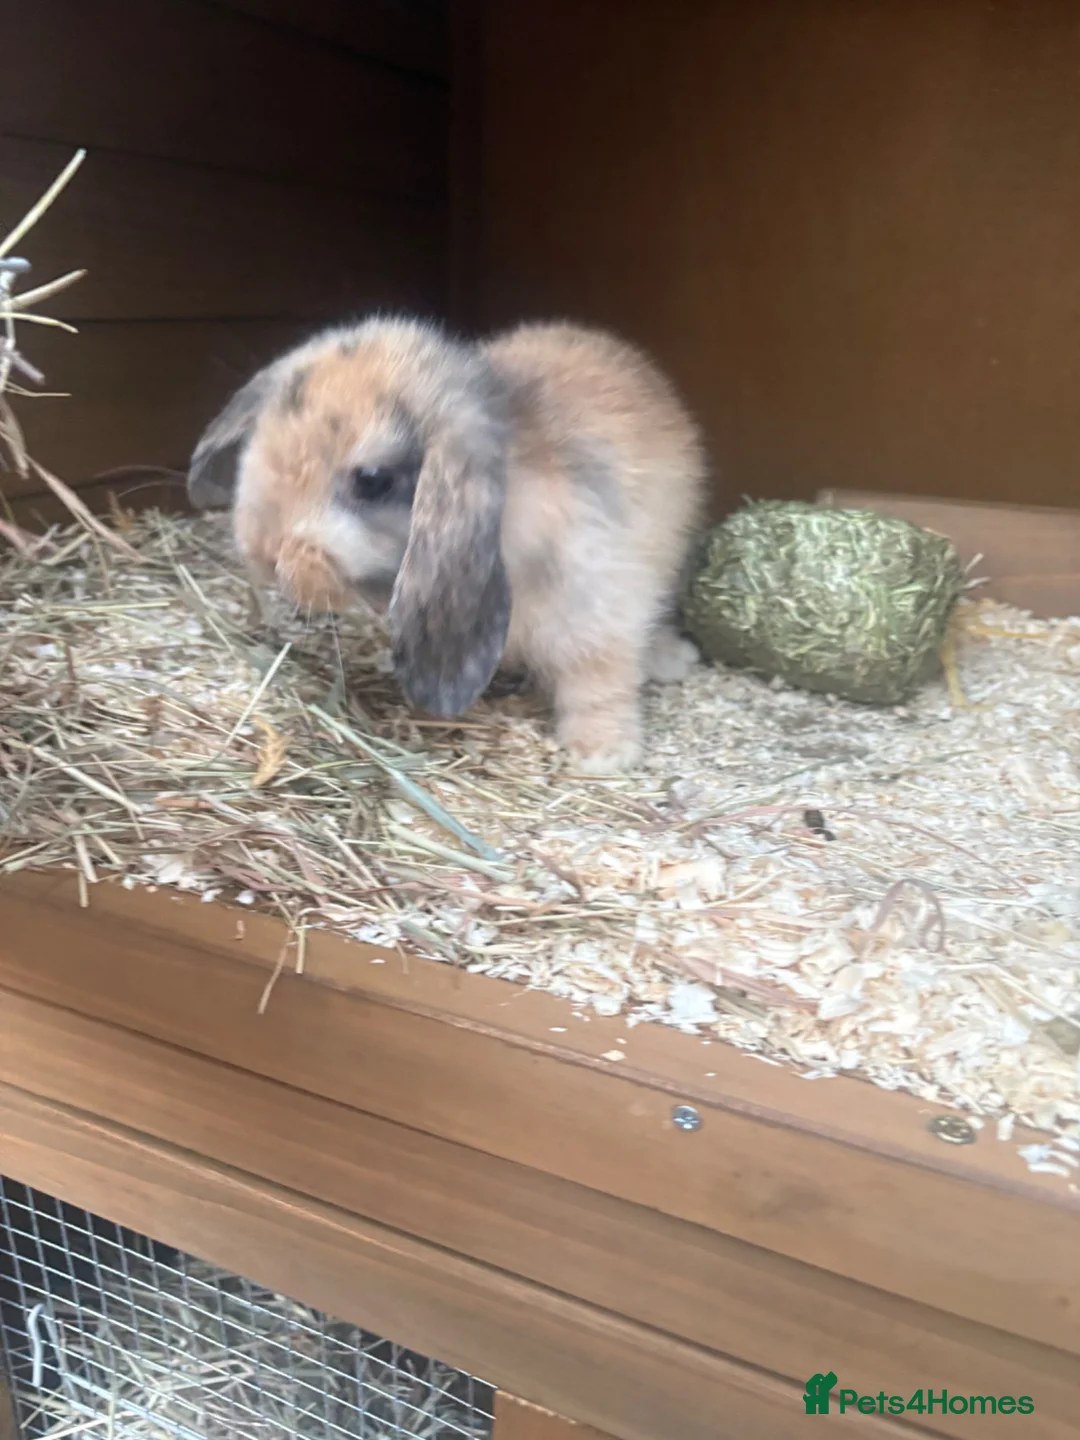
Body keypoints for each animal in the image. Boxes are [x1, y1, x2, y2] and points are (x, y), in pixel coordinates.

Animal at [186, 316, 707, 773]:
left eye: (372, 479)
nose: (263, 552)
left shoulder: (598, 611)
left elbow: (598, 682)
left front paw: (601, 755)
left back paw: (672, 659)